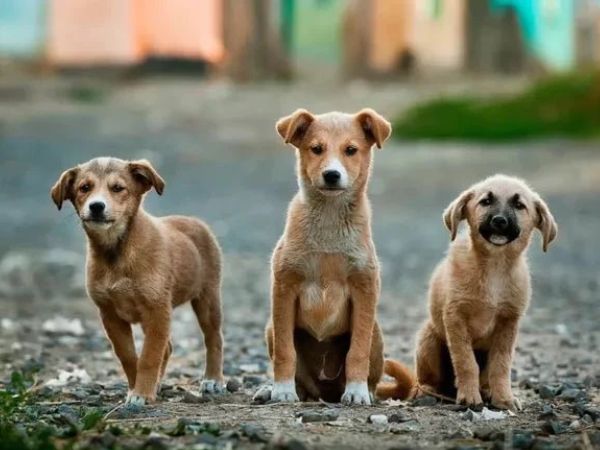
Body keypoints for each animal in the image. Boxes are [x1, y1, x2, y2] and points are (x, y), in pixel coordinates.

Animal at [51, 157, 225, 404]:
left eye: (118, 188)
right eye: (84, 188)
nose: (96, 206)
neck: (116, 252)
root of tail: (195, 222)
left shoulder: (157, 310)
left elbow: (149, 356)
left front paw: (142, 393)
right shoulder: (110, 314)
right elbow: (129, 356)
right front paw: (137, 389)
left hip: (207, 298)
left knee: (213, 338)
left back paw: (213, 380)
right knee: (168, 347)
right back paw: (158, 384)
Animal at [264, 108, 410, 404]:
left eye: (351, 150)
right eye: (316, 149)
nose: (332, 174)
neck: (329, 220)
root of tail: (325, 392)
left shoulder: (364, 288)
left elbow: (357, 351)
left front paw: (356, 391)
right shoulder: (284, 286)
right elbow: (285, 351)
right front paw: (282, 389)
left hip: (376, 332)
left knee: (371, 374)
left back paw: (364, 391)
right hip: (270, 328)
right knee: (302, 382)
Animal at [412, 175, 556, 412]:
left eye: (519, 205)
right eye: (485, 201)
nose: (499, 221)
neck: (494, 267)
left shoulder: (508, 322)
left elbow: (501, 365)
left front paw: (504, 398)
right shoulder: (455, 317)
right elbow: (466, 361)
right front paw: (470, 397)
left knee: (486, 375)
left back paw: (487, 391)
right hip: (428, 340)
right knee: (428, 379)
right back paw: (426, 391)